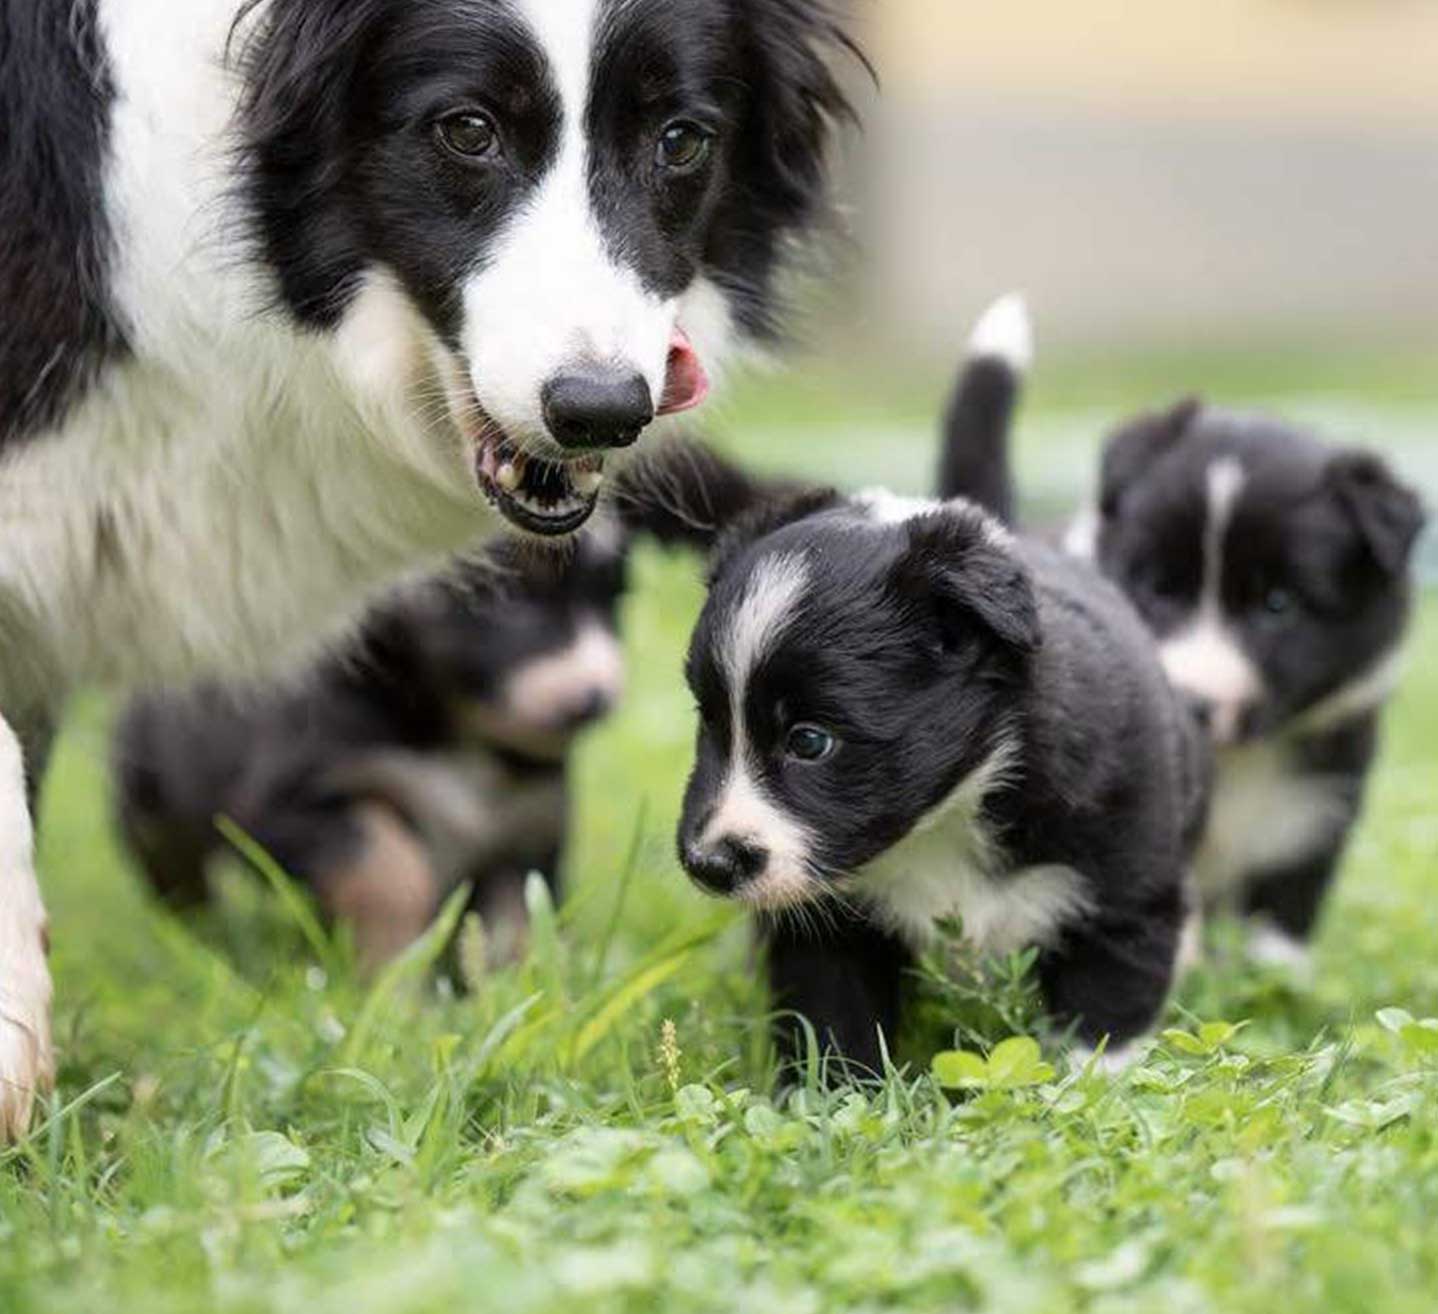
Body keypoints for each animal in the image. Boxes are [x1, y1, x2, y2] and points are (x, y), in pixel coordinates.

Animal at [112, 529, 629, 971]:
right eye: (507, 598)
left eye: (615, 597)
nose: (595, 698)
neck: (452, 731)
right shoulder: (293, 802)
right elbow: (389, 870)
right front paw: (395, 987)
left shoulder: (526, 829)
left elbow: (516, 921)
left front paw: (516, 990)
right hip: (156, 819)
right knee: (180, 885)